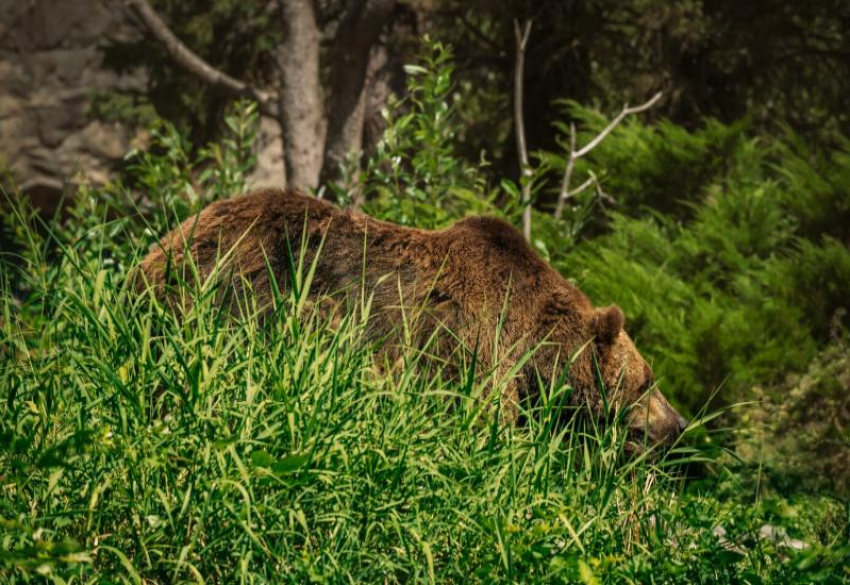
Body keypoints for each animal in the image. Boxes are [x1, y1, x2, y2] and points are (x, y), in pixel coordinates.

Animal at [136, 187, 684, 448]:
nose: (678, 423)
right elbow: (479, 419)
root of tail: (156, 253)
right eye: (648, 380)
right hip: (243, 288)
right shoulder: (474, 345)